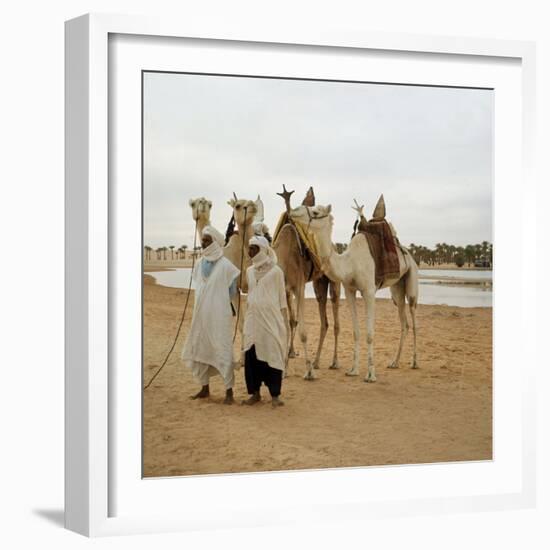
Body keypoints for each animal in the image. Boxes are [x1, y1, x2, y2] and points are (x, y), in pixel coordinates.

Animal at [292, 198, 420, 384]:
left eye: (315, 212)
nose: (294, 210)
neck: (350, 264)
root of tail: (409, 255)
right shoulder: (349, 291)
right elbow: (356, 332)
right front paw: (353, 370)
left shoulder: (369, 291)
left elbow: (369, 334)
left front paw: (371, 374)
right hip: (397, 289)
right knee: (404, 322)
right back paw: (394, 362)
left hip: (411, 281)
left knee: (414, 316)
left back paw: (415, 362)